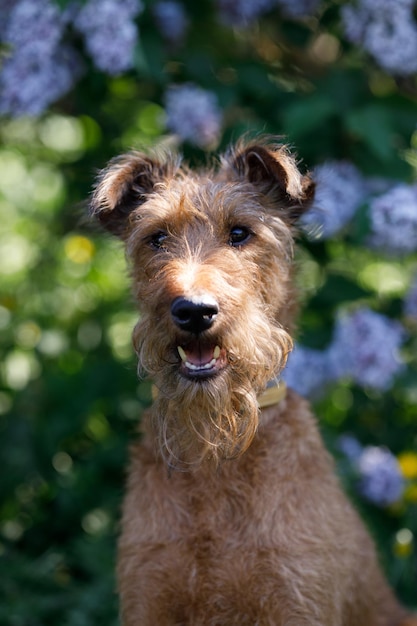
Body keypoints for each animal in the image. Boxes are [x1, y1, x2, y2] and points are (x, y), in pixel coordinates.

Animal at [89, 138, 414, 624]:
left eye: (240, 233)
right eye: (157, 237)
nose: (194, 311)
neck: (216, 457)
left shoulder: (296, 600)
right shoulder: (149, 598)